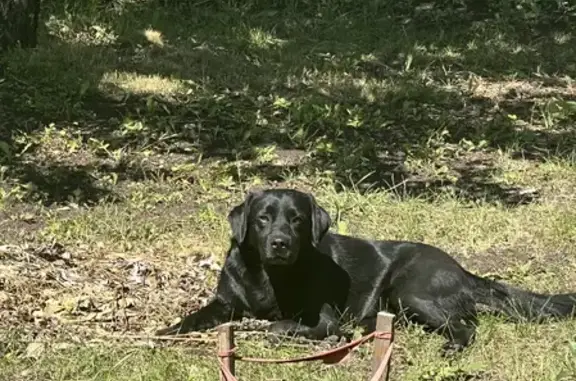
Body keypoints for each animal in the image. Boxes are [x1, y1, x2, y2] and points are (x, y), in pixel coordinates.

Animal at [156, 189, 576, 354]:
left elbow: (279, 327)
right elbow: (195, 316)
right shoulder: (225, 302)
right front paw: (167, 331)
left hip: (411, 290)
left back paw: (451, 348)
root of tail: (463, 269)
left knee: (465, 327)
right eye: (262, 218)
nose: (280, 243)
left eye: (297, 219)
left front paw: (272, 330)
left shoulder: (326, 319)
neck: (269, 276)